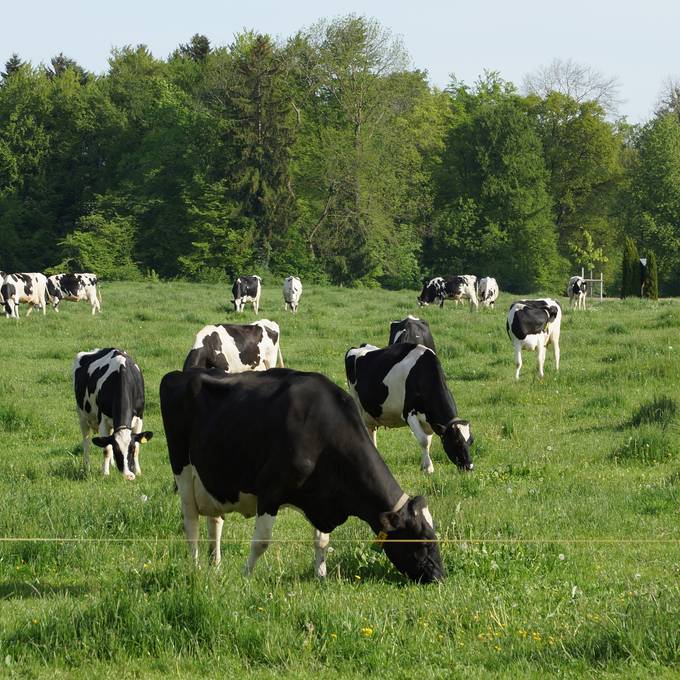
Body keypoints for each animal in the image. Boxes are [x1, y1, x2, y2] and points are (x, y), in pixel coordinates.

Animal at [74, 348, 154, 480]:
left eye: (131, 449)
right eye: (118, 451)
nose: (128, 476)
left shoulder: (139, 418)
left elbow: (138, 446)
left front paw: (137, 471)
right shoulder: (102, 420)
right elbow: (107, 449)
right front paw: (105, 474)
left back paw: (111, 464)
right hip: (82, 416)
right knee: (86, 442)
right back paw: (86, 467)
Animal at [161, 366, 444, 584]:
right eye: (423, 541)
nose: (439, 577)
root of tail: (181, 374)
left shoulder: (323, 497)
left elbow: (321, 541)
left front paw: (321, 576)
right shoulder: (270, 490)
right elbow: (261, 542)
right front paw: (246, 575)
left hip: (214, 478)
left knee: (215, 520)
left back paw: (215, 564)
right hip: (183, 471)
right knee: (191, 521)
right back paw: (195, 566)